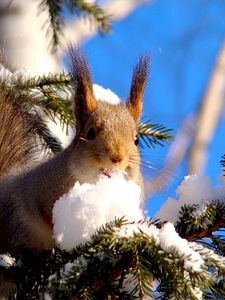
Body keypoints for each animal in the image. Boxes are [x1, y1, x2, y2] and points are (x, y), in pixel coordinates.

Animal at [0, 48, 149, 256]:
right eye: (90, 133)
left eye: (136, 140)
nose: (117, 157)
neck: (94, 182)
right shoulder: (39, 190)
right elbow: (47, 217)